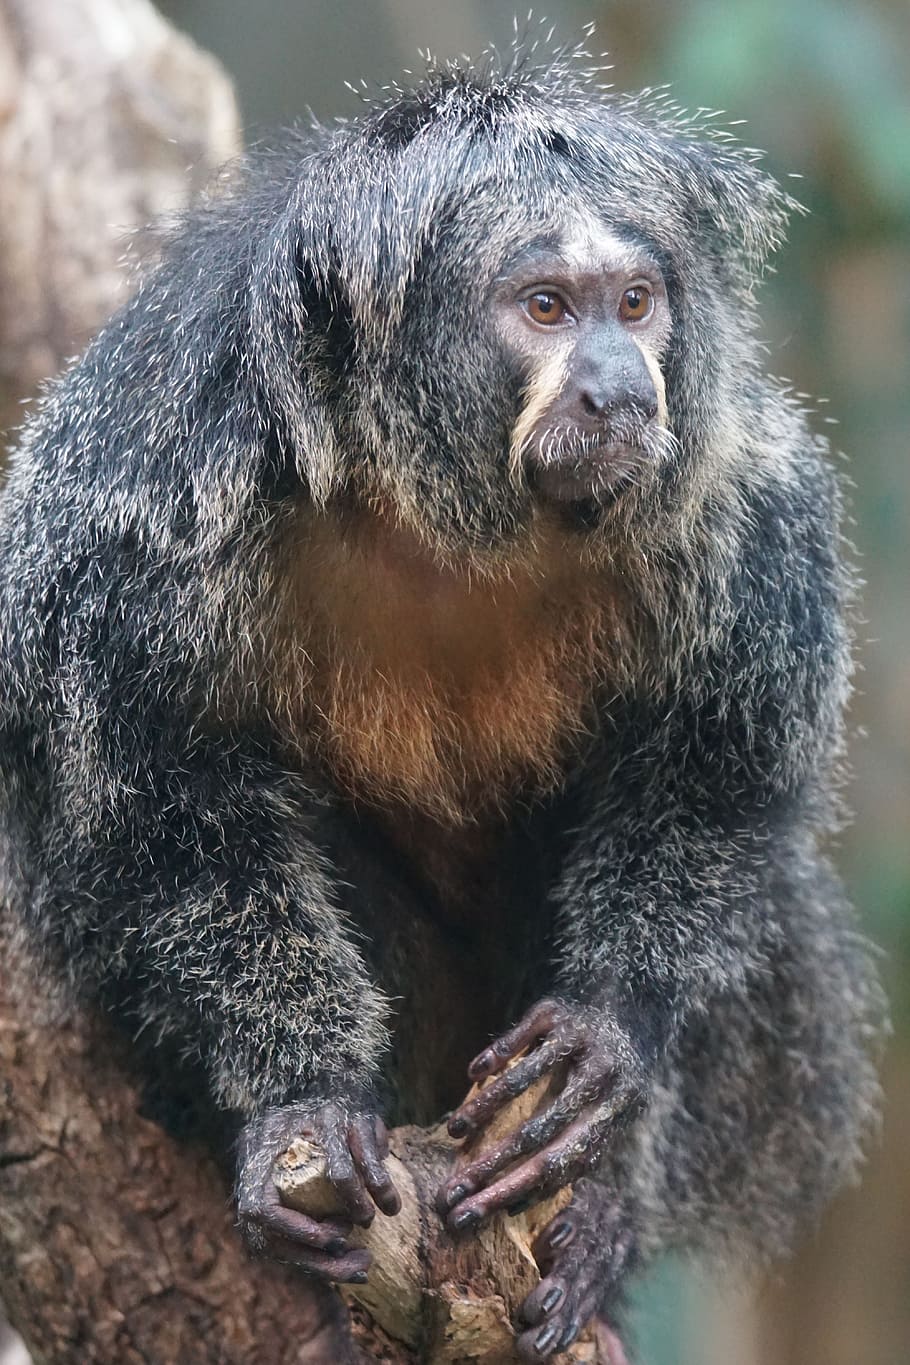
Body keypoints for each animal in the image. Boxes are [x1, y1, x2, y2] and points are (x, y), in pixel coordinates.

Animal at [0, 47, 884, 1362]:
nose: (619, 390)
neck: (438, 509)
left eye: (635, 305)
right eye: (546, 309)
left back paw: (596, 1222)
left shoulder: (741, 496)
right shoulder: (147, 508)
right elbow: (162, 813)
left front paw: (607, 1031)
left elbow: (721, 764)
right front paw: (300, 1096)